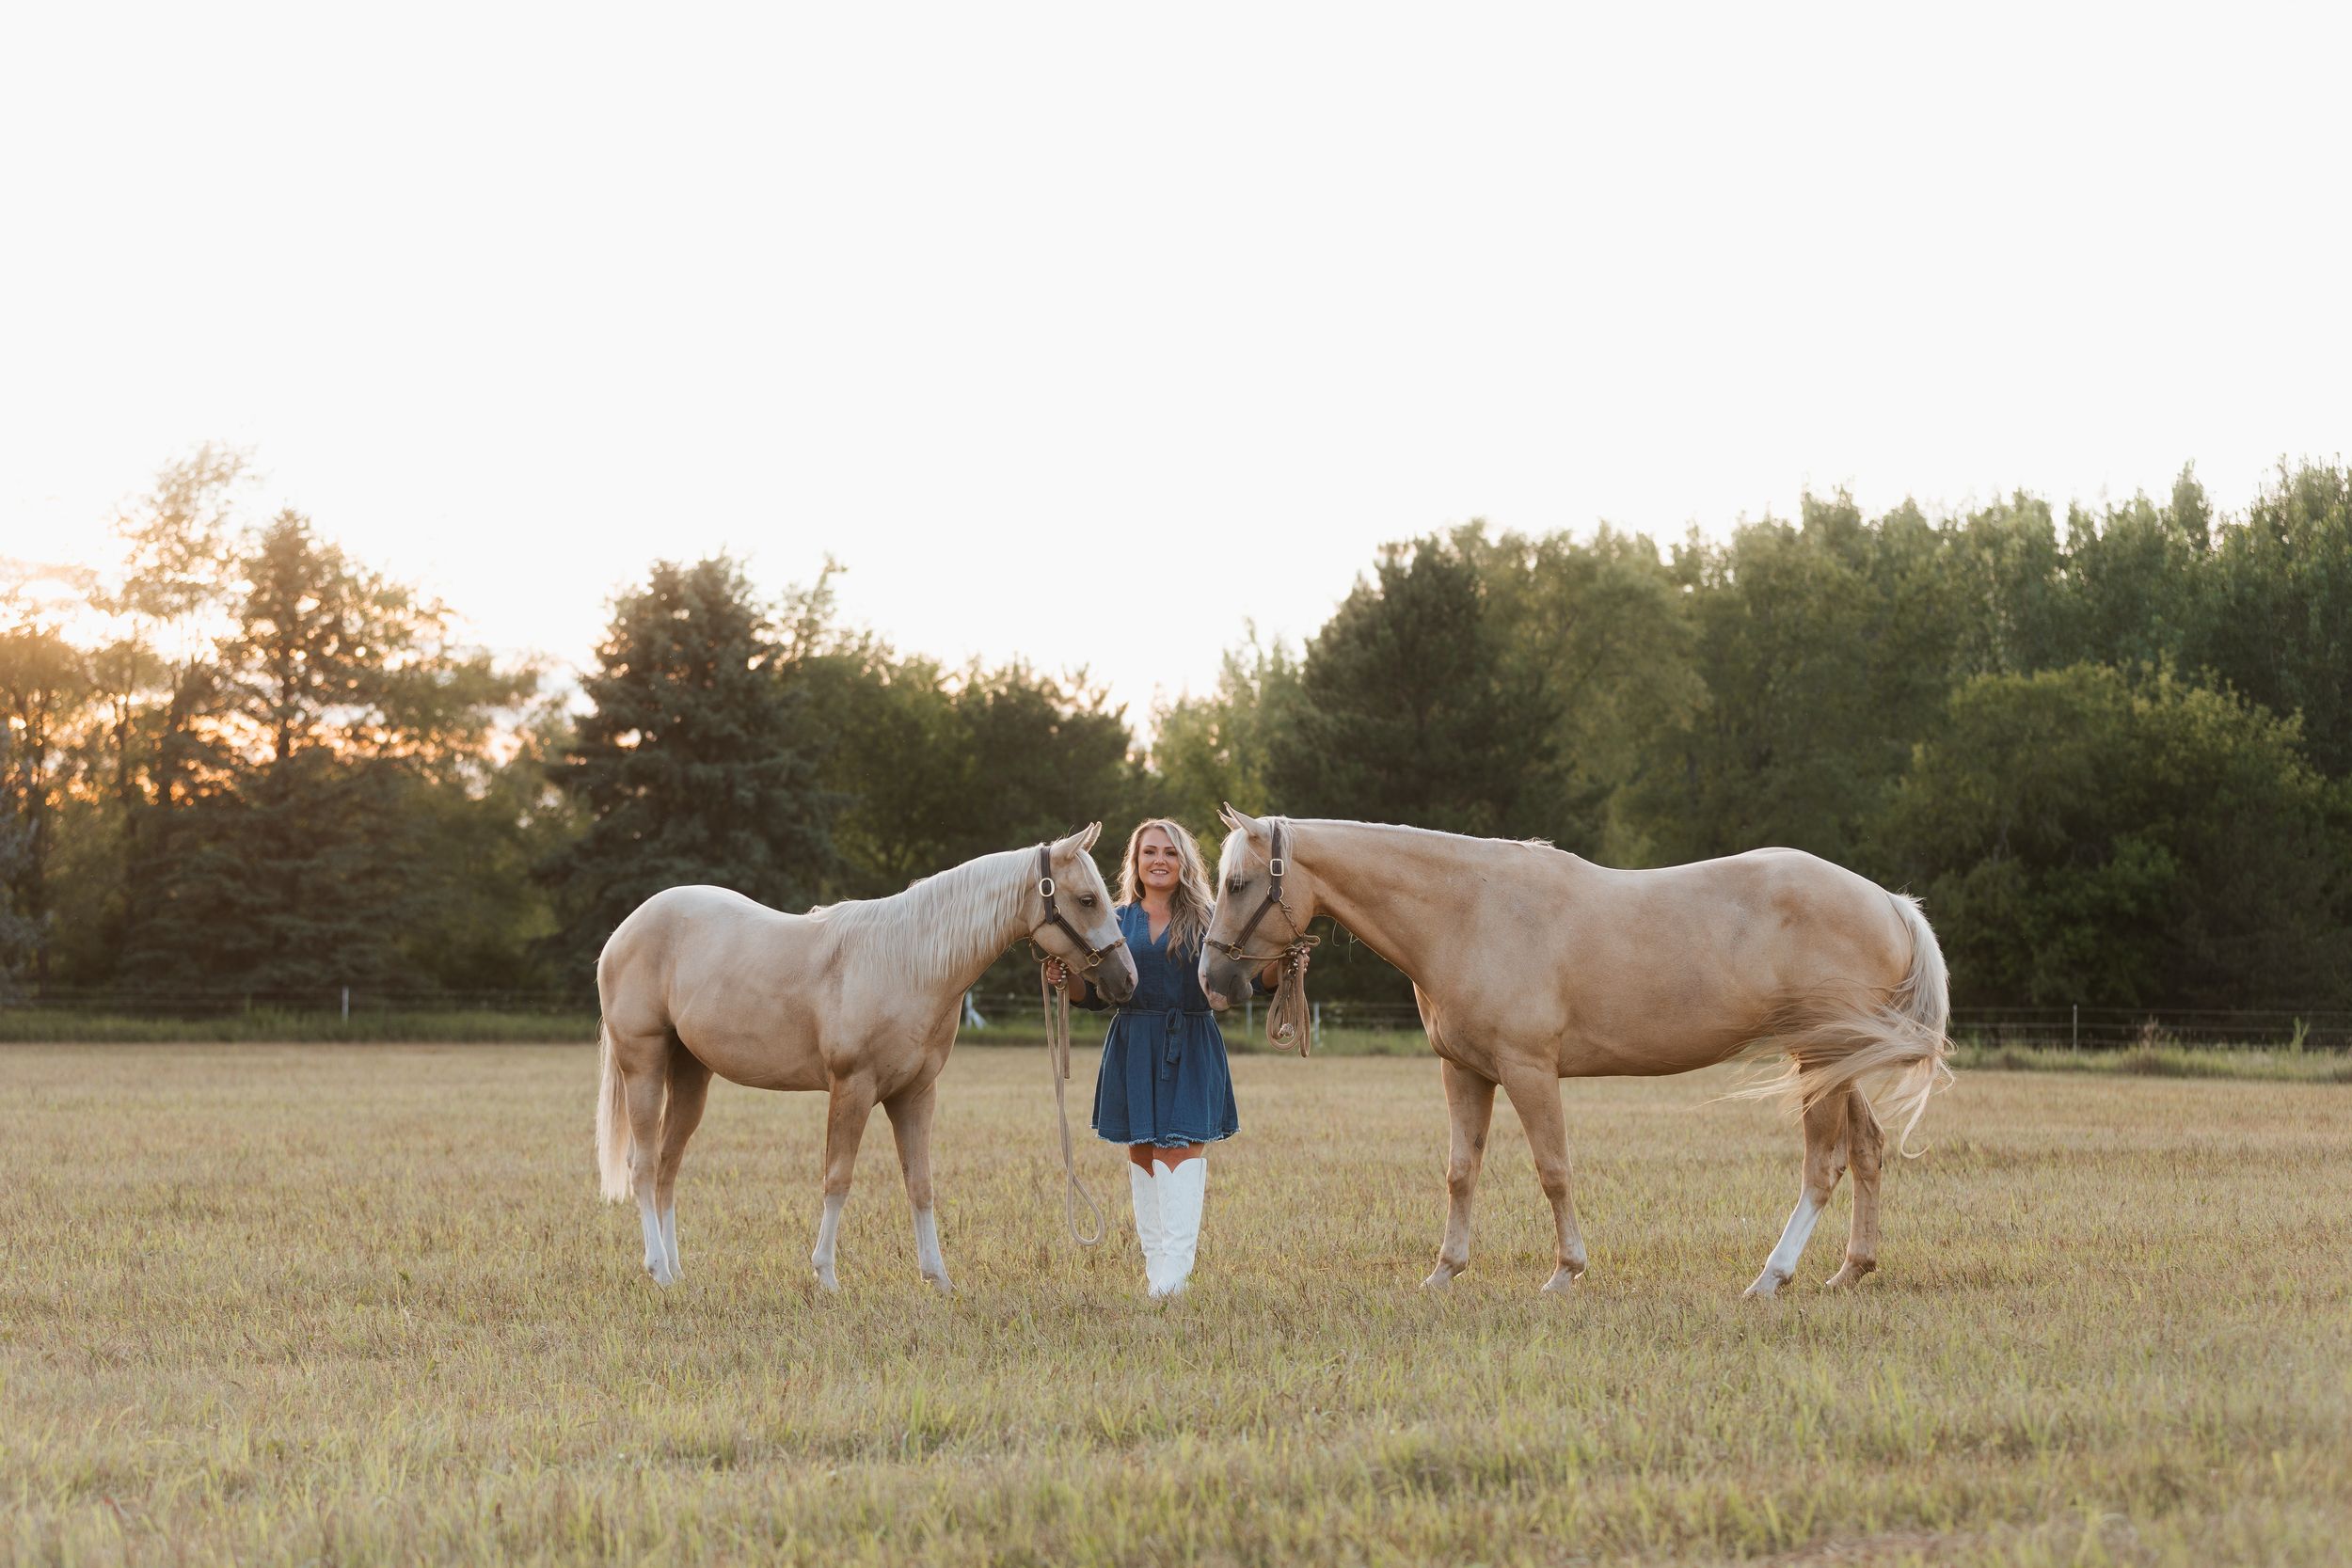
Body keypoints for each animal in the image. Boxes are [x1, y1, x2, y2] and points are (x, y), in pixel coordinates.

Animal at [594, 825, 1139, 1291]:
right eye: (1087, 899)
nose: (1126, 980)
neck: (907, 963)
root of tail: (624, 930)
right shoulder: (852, 1088)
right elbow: (838, 1178)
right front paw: (826, 1275)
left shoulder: (916, 1094)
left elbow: (920, 1184)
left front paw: (939, 1278)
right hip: (643, 1063)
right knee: (643, 1165)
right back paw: (658, 1270)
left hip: (691, 1073)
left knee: (668, 1166)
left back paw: (677, 1271)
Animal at [1197, 808, 1952, 1298]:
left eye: (1238, 883)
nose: (1213, 979)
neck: (1468, 912)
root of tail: (1889, 902)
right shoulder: (1464, 1071)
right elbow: (1461, 1171)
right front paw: (1445, 1271)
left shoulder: (1529, 1070)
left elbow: (1553, 1169)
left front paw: (1565, 1272)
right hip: (1836, 1061)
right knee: (1867, 1150)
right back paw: (1851, 1269)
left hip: (1819, 1059)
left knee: (1822, 1165)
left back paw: (1771, 1276)